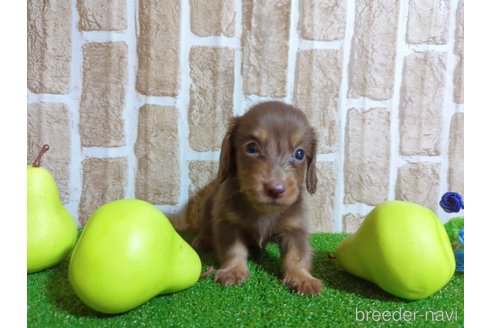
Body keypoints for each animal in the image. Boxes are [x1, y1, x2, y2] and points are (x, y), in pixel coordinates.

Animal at [192, 100, 322, 294]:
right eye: (252, 148)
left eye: (299, 154)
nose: (275, 189)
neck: (263, 211)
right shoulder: (228, 223)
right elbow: (233, 249)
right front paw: (233, 271)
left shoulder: (295, 228)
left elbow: (297, 255)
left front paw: (302, 278)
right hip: (207, 207)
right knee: (207, 227)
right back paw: (203, 239)